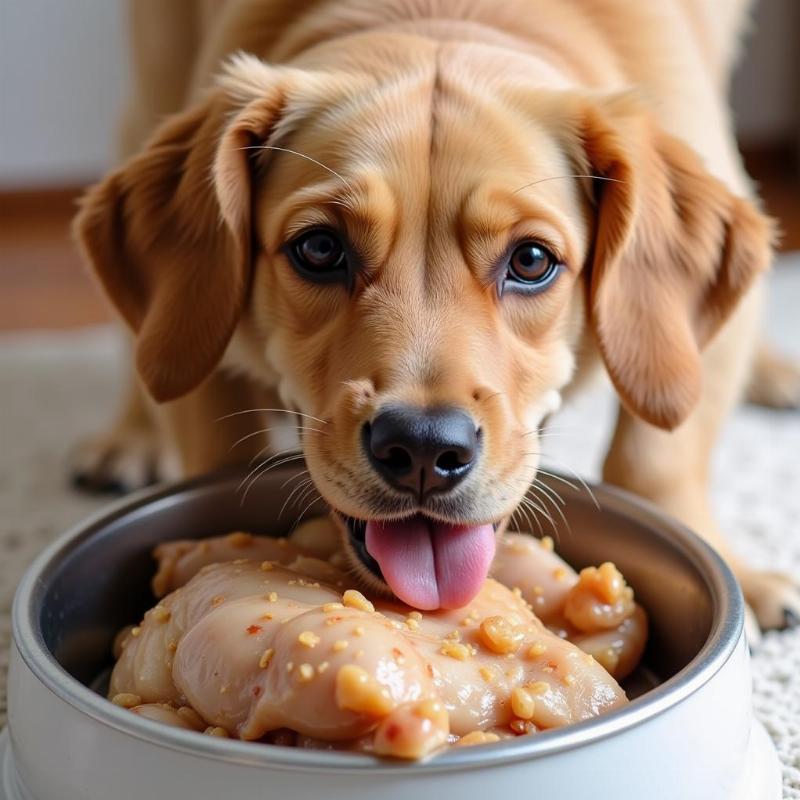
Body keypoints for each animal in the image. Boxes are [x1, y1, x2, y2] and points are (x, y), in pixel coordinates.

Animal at [72, 0, 796, 624]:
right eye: (320, 248)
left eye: (531, 260)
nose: (422, 447)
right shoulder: (201, 322)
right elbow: (214, 437)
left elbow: (654, 457)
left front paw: (736, 571)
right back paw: (128, 437)